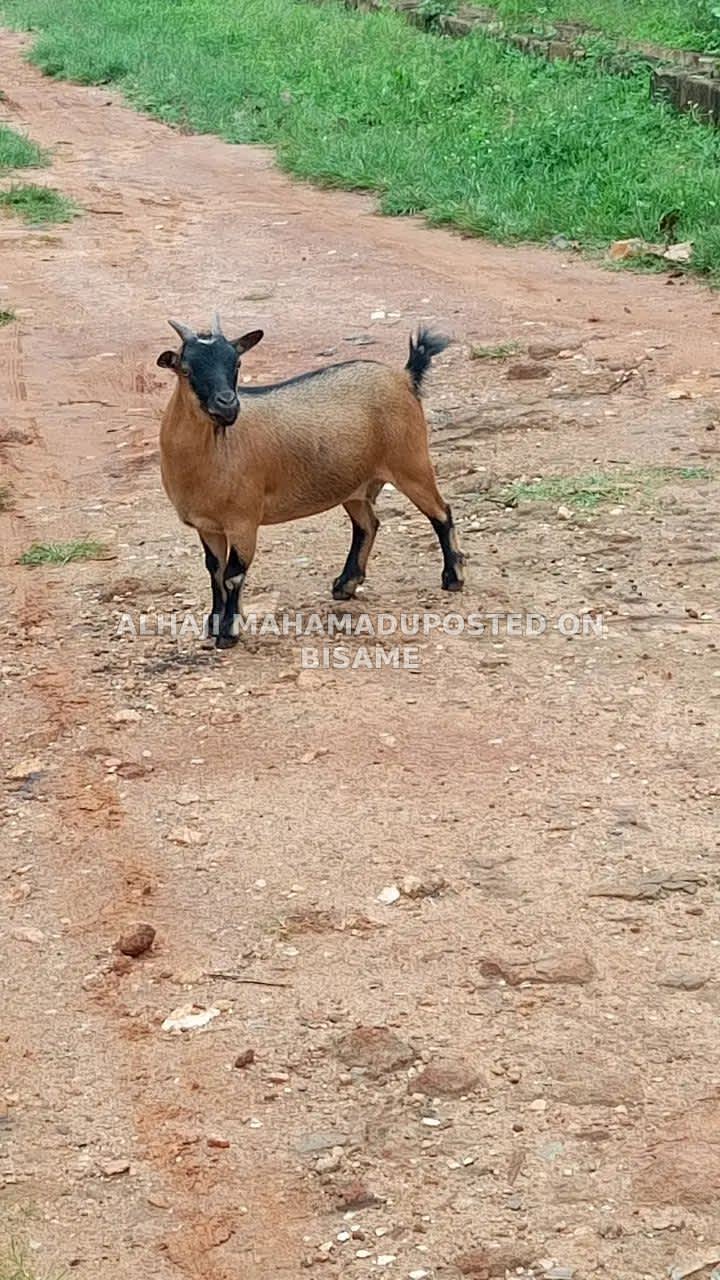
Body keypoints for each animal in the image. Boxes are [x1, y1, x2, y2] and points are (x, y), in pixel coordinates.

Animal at [157, 313, 465, 649]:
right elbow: (214, 572)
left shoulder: (243, 521)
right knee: (368, 524)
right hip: (355, 485)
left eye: (236, 363)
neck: (216, 450)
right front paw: (213, 625)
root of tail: (405, 377)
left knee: (441, 512)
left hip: (411, 462)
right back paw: (345, 585)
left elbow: (232, 575)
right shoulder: (208, 526)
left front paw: (228, 633)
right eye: (186, 369)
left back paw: (452, 578)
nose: (228, 405)